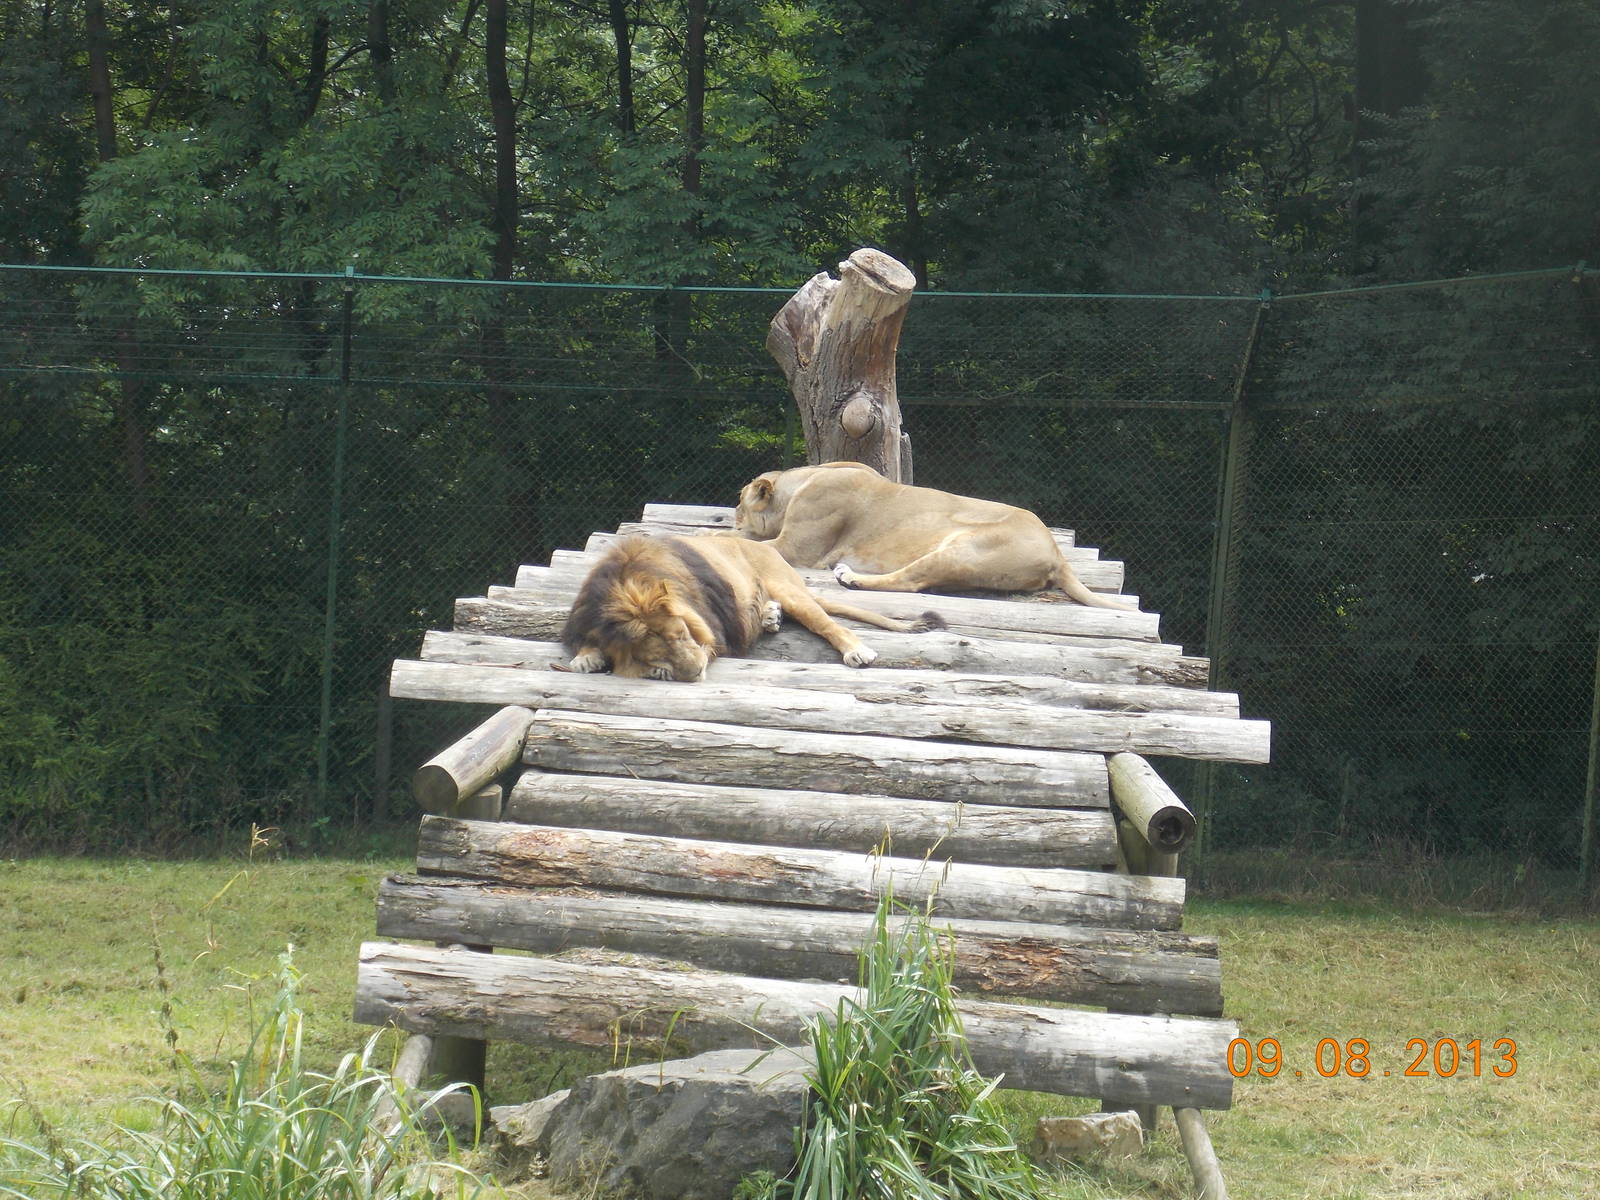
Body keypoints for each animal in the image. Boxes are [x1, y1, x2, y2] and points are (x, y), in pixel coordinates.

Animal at [560, 534, 944, 682]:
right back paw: (770, 616)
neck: (626, 583)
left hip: (789, 589)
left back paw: (857, 650)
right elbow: (587, 642)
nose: (695, 671)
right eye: (649, 656)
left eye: (681, 634)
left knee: (829, 624)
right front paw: (586, 657)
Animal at [733, 461, 1136, 610]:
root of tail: (1058, 553)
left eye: (739, 502)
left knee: (910, 581)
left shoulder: (796, 547)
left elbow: (739, 540)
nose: (735, 513)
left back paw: (851, 577)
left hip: (963, 547)